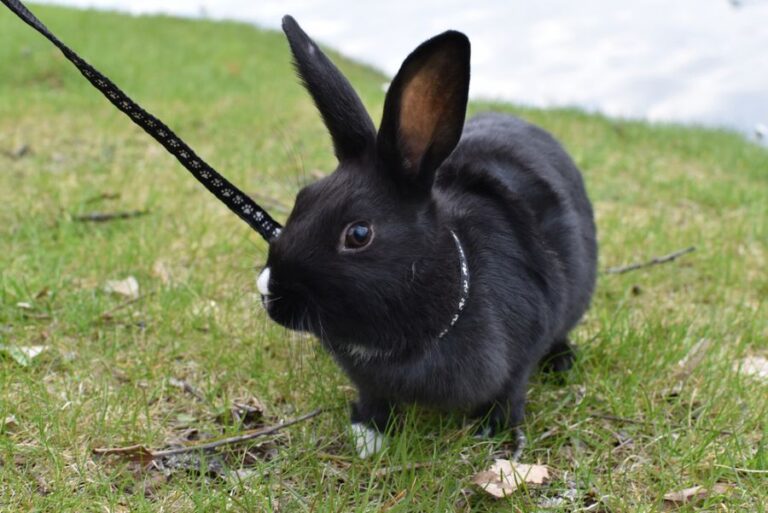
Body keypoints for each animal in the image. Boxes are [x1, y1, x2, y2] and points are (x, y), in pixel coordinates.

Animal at [257, 16, 598, 457]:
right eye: (302, 199)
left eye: (359, 234)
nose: (268, 293)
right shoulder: (370, 381)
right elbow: (374, 396)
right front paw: (369, 434)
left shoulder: (521, 355)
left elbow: (511, 391)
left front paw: (495, 430)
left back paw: (561, 362)